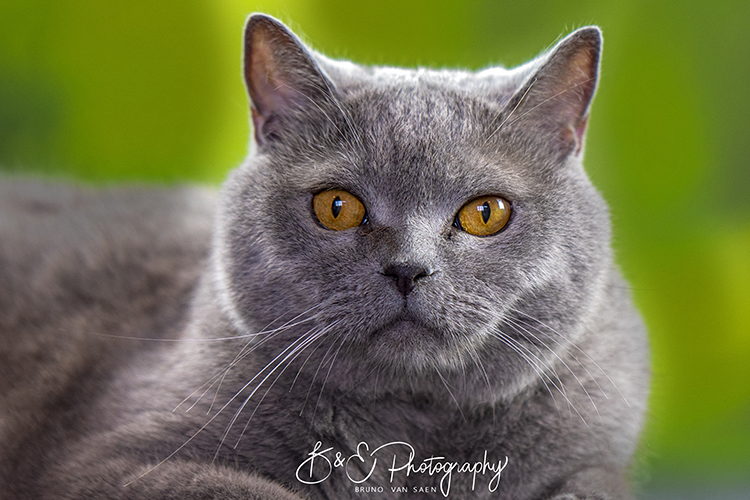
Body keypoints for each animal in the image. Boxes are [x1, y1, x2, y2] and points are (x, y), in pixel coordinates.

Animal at [0, 12, 652, 500]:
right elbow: (251, 490)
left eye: (485, 213)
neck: (408, 438)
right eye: (337, 207)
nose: (408, 269)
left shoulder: (596, 449)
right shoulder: (113, 460)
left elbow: (590, 484)